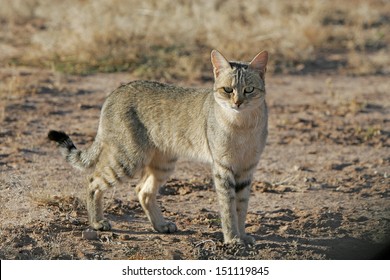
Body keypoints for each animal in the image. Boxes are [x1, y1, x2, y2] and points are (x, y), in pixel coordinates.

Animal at [48, 49, 268, 244]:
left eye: (249, 89)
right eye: (228, 90)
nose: (238, 103)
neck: (242, 125)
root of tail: (116, 91)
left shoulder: (247, 169)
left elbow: (241, 206)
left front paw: (242, 236)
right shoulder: (223, 167)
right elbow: (228, 208)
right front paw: (232, 238)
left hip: (163, 163)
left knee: (142, 190)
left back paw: (160, 225)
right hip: (128, 159)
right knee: (93, 181)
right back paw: (97, 223)